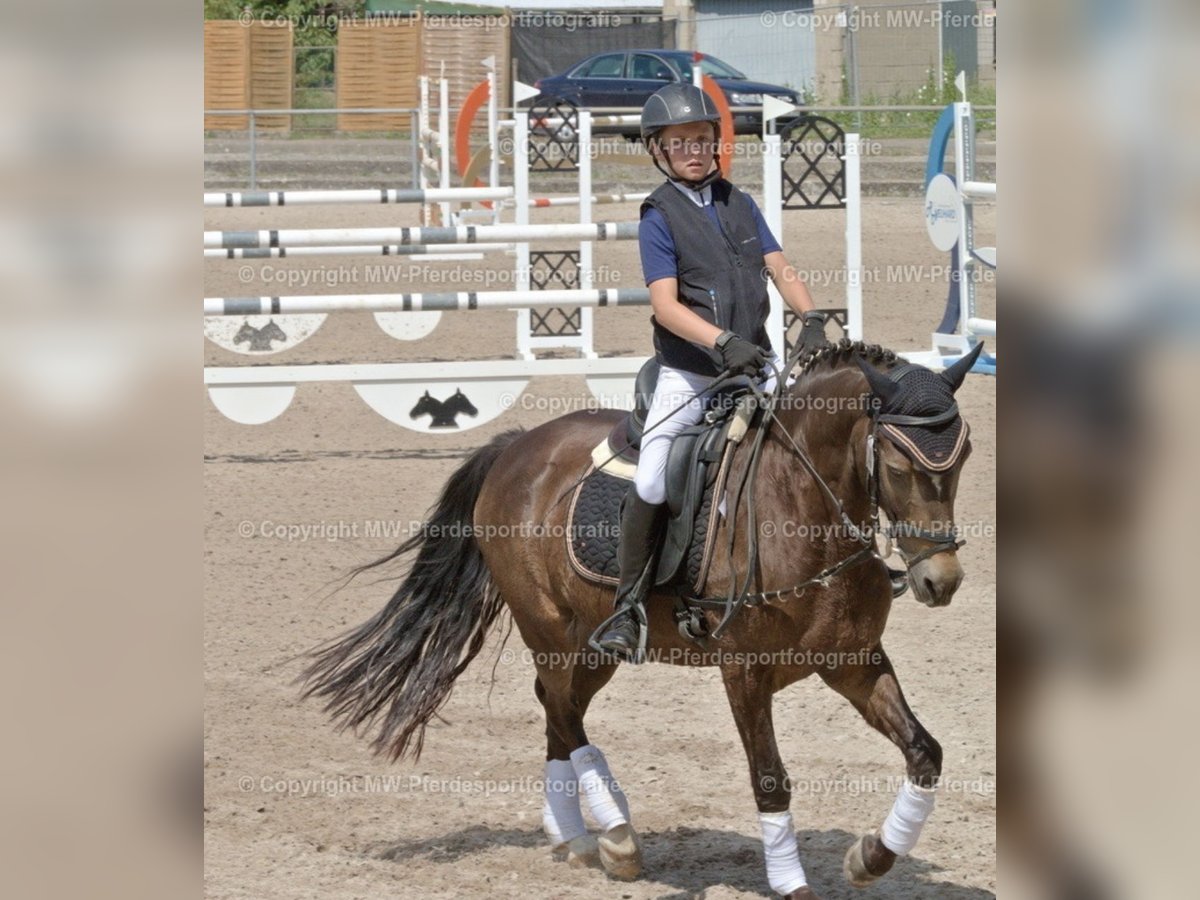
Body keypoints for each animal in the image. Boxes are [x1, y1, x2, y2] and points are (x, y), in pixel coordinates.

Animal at [302, 340, 984, 897]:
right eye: (896, 466)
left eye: (965, 456)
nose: (940, 581)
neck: (802, 509)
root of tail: (515, 445)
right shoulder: (744, 673)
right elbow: (770, 779)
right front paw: (792, 884)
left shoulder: (852, 663)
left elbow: (924, 752)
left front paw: (870, 858)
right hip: (548, 627)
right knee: (563, 711)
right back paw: (616, 837)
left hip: (593, 644)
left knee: (558, 708)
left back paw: (575, 836)